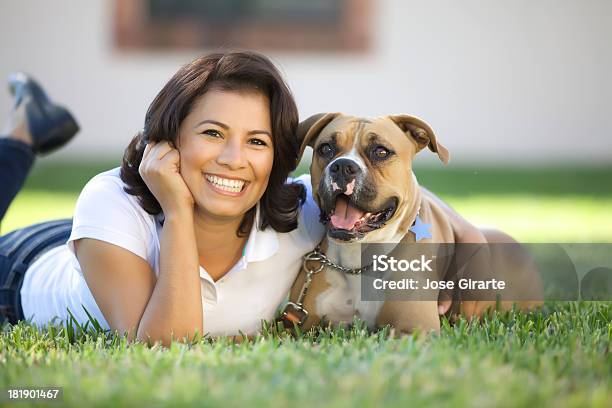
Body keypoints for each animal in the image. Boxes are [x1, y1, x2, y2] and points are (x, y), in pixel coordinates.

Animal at [280, 112, 540, 334]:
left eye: (381, 152)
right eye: (326, 148)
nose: (343, 166)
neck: (358, 261)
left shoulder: (415, 329)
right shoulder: (298, 327)